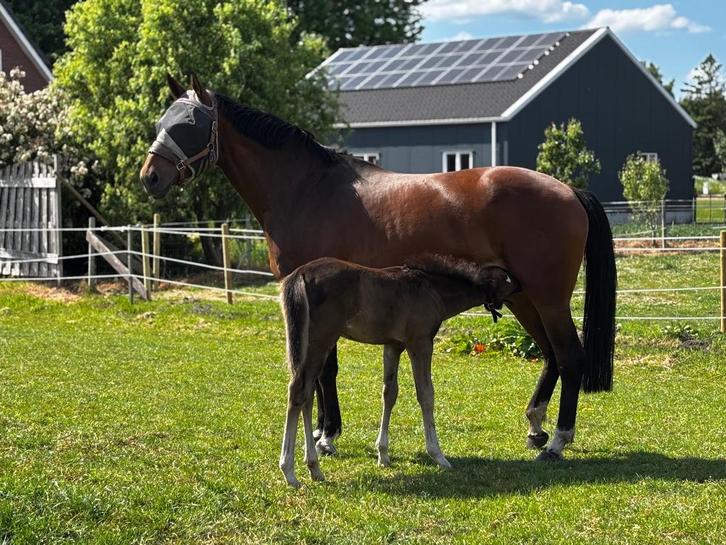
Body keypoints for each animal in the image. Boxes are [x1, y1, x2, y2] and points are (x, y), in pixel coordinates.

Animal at [140, 74, 616, 462]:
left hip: (548, 297)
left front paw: (327, 436)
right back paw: (536, 426)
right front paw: (324, 430)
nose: (150, 177)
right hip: (522, 296)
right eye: (163, 121)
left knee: (569, 356)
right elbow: (321, 371)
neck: (308, 189)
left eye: (189, 124)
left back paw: (558, 440)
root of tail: (568, 190)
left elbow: (325, 368)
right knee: (551, 354)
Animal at [278, 255, 521, 487]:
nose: (521, 288)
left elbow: (389, 393)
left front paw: (383, 454)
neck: (432, 288)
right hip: (321, 339)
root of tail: (300, 274)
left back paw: (313, 468)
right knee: (299, 391)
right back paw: (290, 471)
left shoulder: (393, 345)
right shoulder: (420, 343)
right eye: (508, 282)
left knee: (306, 394)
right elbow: (426, 394)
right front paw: (438, 455)